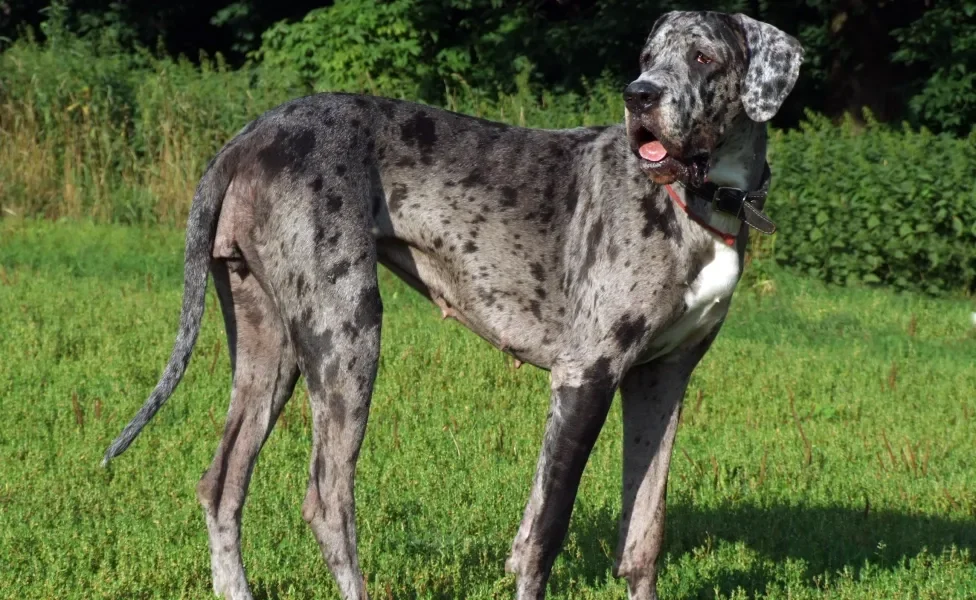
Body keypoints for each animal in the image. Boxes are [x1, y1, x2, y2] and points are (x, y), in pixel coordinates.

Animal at [103, 10, 800, 600]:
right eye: (647, 56)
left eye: (704, 56)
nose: (639, 95)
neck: (701, 199)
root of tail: (249, 135)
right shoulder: (586, 376)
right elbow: (544, 533)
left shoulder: (662, 380)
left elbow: (644, 535)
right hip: (347, 334)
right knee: (327, 501)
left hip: (269, 343)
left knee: (222, 485)